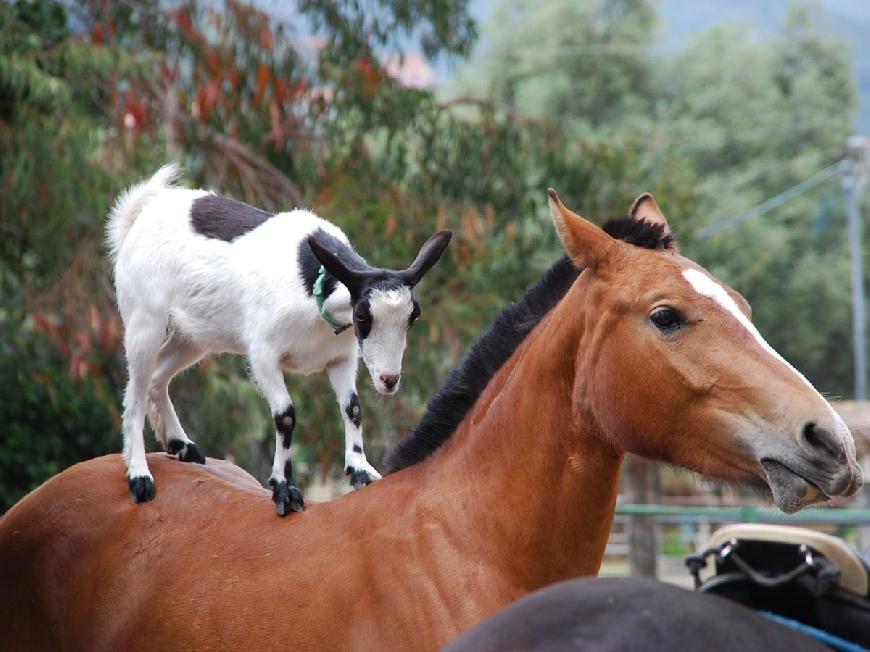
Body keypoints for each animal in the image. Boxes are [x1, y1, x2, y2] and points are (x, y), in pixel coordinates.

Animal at [105, 164, 454, 516]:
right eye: (362, 317)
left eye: (413, 316)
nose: (389, 380)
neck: (312, 288)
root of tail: (139, 214)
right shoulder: (263, 355)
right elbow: (285, 415)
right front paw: (284, 489)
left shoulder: (341, 358)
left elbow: (353, 408)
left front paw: (361, 471)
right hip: (144, 319)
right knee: (134, 392)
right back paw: (139, 475)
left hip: (192, 334)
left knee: (157, 378)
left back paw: (181, 445)